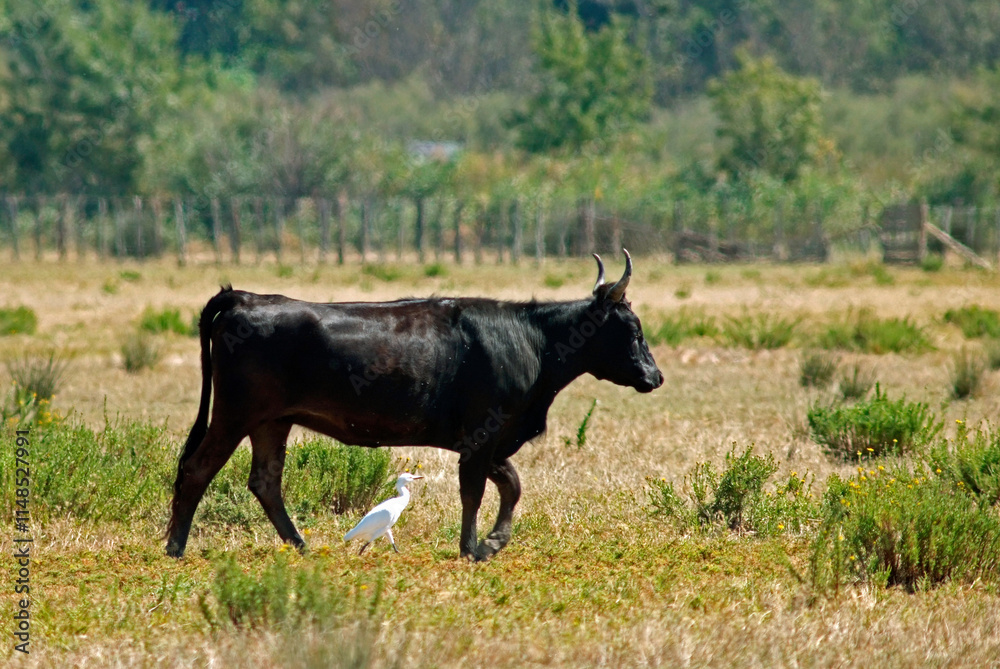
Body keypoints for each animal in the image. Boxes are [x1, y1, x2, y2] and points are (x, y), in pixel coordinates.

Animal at [165, 251, 663, 561]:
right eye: (633, 328)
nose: (655, 376)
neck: (529, 339)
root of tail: (246, 296)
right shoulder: (484, 433)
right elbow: (475, 491)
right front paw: (472, 547)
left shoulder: (488, 441)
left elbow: (511, 485)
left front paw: (494, 542)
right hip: (234, 415)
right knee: (197, 470)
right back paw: (175, 547)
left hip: (273, 422)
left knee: (265, 482)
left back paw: (301, 545)